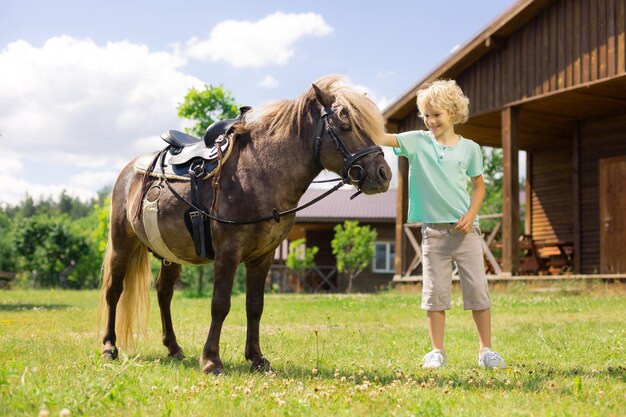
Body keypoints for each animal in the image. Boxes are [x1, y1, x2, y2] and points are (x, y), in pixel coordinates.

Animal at [97, 75, 390, 374]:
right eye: (344, 125)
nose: (383, 174)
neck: (259, 174)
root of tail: (129, 170)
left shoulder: (263, 257)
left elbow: (254, 306)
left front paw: (257, 357)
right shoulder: (228, 251)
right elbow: (220, 304)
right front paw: (211, 359)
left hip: (171, 254)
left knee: (163, 293)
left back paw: (174, 348)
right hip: (122, 244)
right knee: (114, 290)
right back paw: (109, 347)